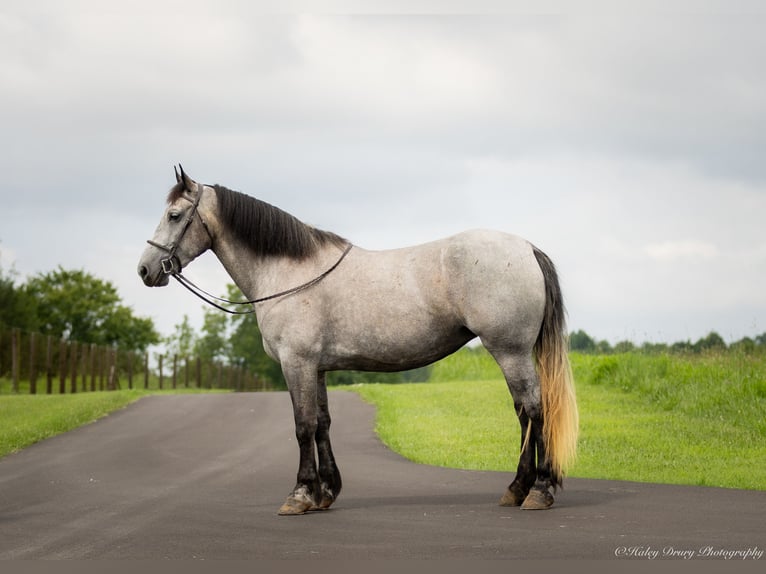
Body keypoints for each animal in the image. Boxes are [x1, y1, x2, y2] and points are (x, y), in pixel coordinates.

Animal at [138, 166, 580, 516]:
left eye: (174, 215)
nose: (145, 270)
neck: (289, 272)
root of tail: (526, 248)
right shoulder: (316, 368)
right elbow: (322, 424)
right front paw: (325, 493)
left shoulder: (296, 363)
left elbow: (302, 426)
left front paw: (300, 495)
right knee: (524, 413)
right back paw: (517, 489)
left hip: (510, 351)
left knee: (534, 410)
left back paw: (538, 491)